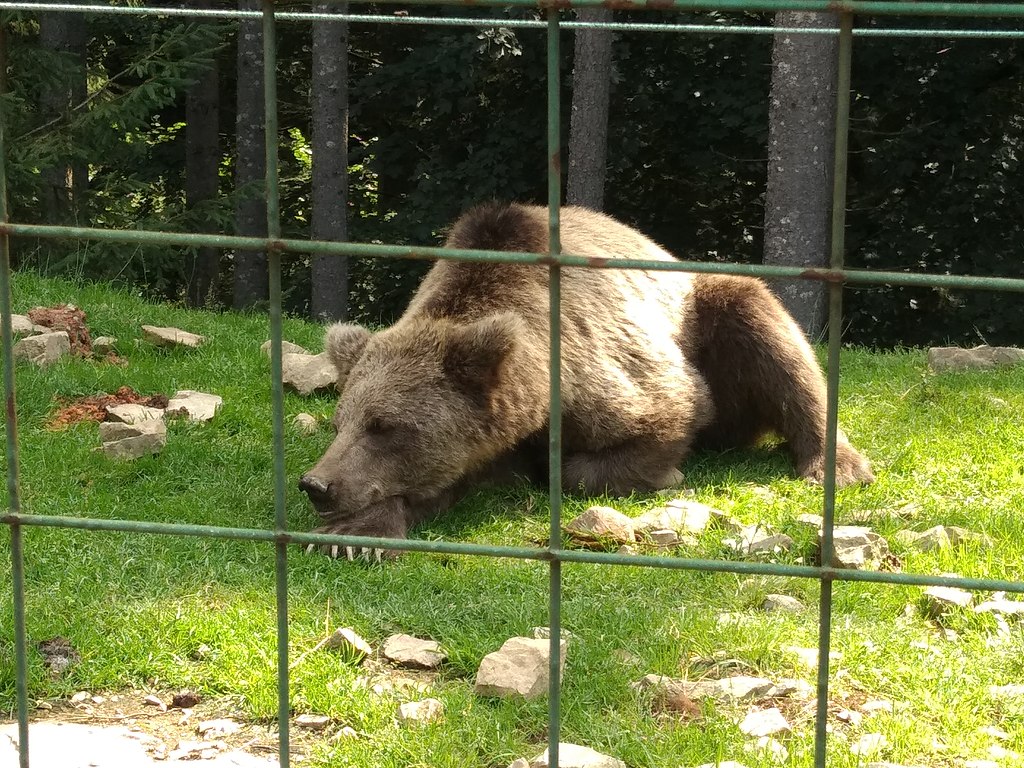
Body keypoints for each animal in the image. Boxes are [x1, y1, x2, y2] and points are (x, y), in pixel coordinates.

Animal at [299, 202, 876, 561]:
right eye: (341, 422)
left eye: (384, 426)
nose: (316, 485)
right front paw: (349, 533)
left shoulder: (609, 366)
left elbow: (660, 420)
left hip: (711, 308)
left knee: (775, 342)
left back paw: (834, 463)